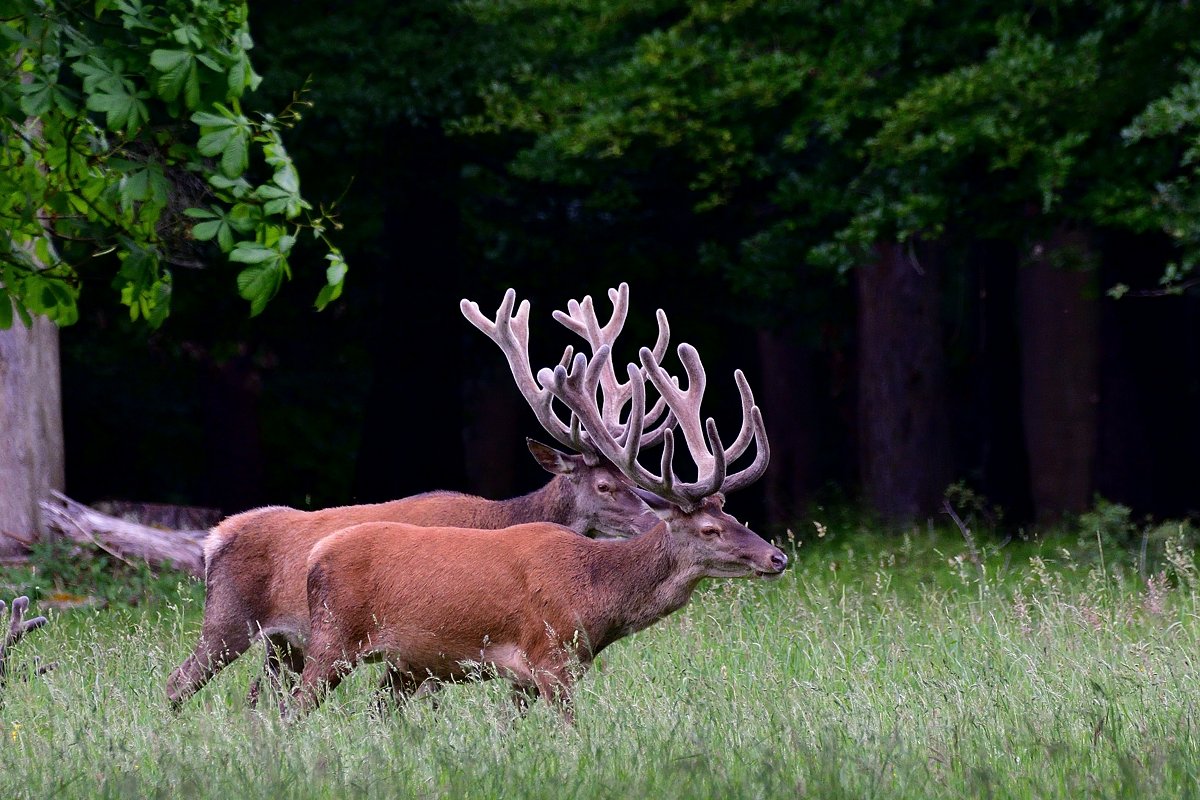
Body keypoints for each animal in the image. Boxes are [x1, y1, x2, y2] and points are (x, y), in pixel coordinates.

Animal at [164, 284, 662, 710]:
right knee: (179, 682)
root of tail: (213, 538)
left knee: (255, 696)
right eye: (604, 485)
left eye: (629, 479)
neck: (500, 518)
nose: (653, 519)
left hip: (283, 642)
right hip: (229, 618)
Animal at [285, 297, 782, 724]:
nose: (777, 557)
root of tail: (315, 556)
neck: (596, 594)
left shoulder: (529, 676)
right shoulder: (549, 655)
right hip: (332, 640)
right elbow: (570, 730)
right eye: (709, 529)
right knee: (293, 709)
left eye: (733, 515)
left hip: (398, 662)